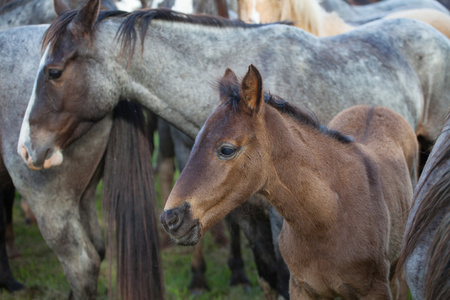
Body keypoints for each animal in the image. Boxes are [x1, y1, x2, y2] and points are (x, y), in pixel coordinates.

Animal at [0, 24, 163, 300]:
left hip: (49, 200)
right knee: (97, 247)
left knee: (82, 264)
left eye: (54, 73)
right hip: (84, 193)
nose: (27, 148)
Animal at [162, 65, 418, 298]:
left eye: (226, 149)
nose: (170, 218)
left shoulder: (375, 289)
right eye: (194, 141)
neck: (328, 217)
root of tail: (376, 107)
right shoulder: (300, 287)